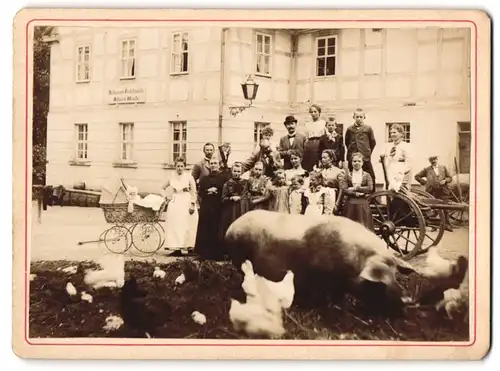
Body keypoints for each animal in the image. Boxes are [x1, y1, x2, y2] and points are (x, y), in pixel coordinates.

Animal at [225, 211, 462, 316]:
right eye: (380, 281)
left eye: (396, 275)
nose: (407, 300)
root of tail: (232, 226)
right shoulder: (317, 276)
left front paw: (339, 306)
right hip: (240, 257)